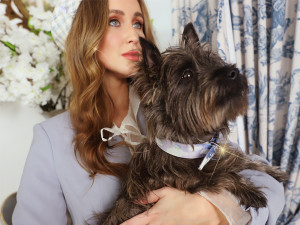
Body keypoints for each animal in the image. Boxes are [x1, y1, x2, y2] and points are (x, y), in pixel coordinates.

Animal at [96, 22, 286, 225]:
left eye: (213, 62)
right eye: (187, 75)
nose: (233, 72)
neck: (192, 145)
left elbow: (243, 160)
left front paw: (274, 171)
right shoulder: (186, 181)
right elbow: (224, 174)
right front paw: (251, 192)